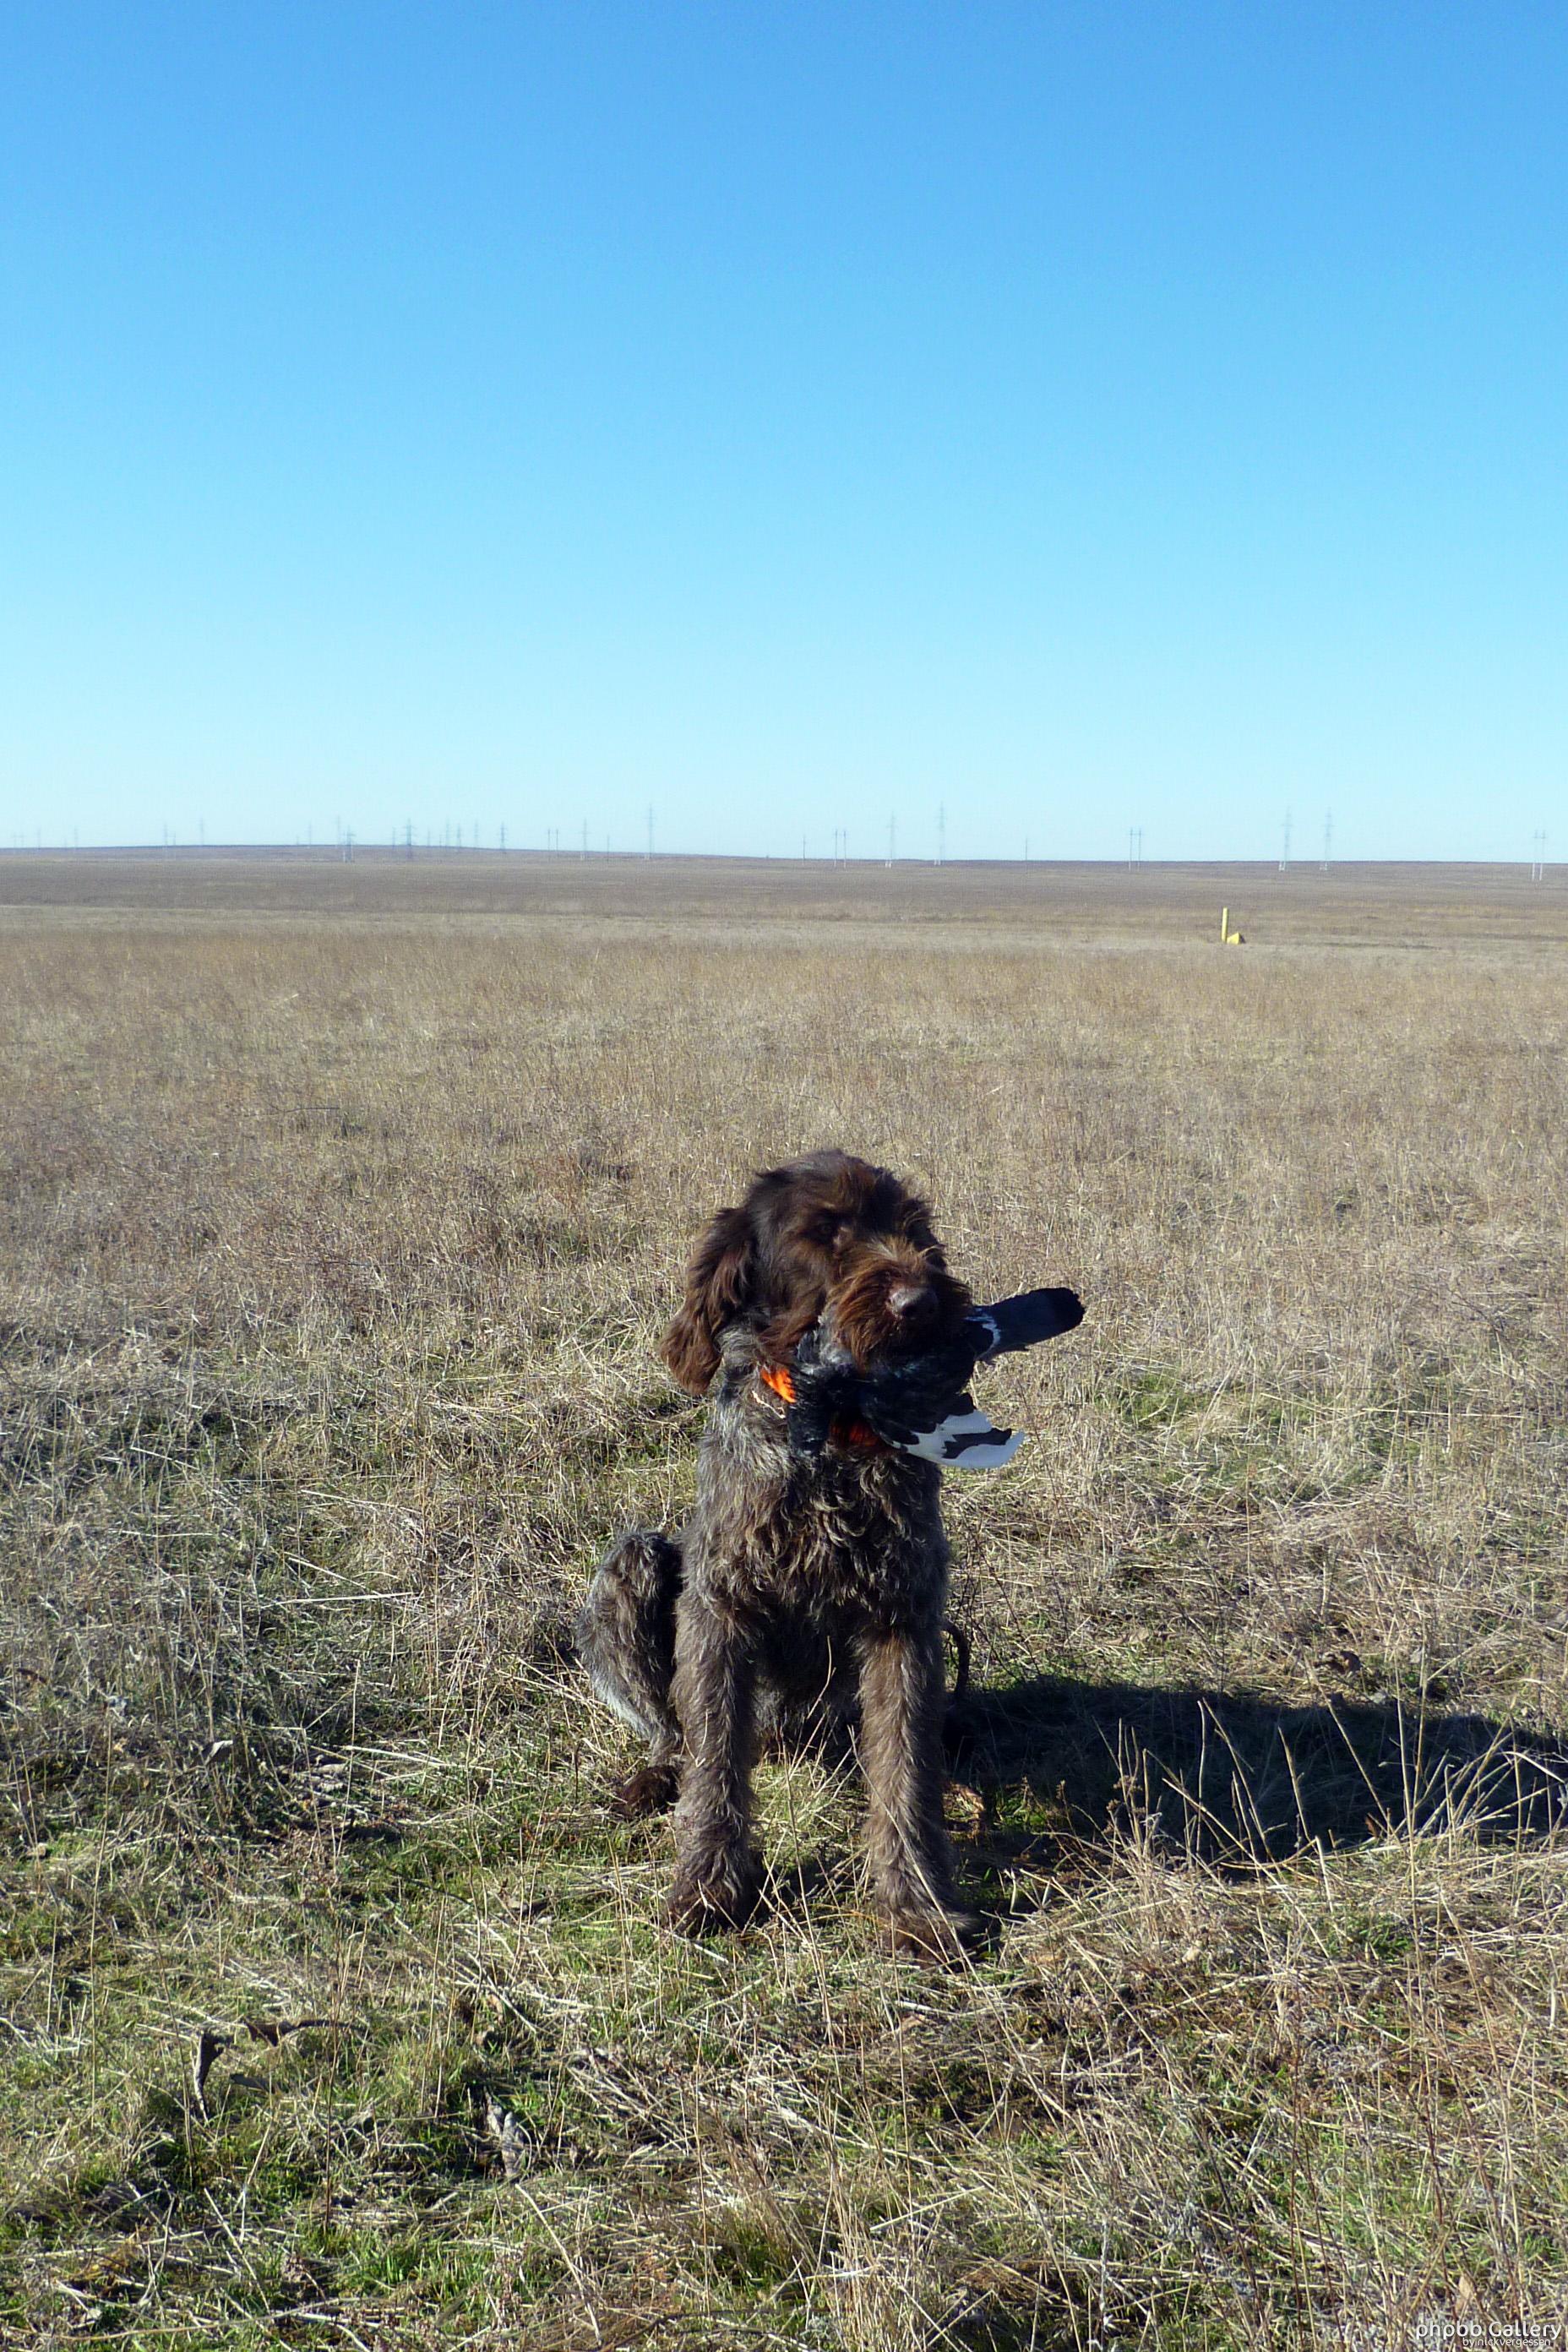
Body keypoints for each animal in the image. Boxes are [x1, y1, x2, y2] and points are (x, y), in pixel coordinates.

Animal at [576, 1149, 987, 1960]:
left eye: (913, 1226)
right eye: (822, 1234)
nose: (921, 1303)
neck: (830, 1442)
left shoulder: (905, 1619)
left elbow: (906, 1770)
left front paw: (915, 1905)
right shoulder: (720, 1609)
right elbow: (714, 1766)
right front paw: (708, 1886)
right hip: (632, 1565)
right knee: (675, 1734)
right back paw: (654, 1778)